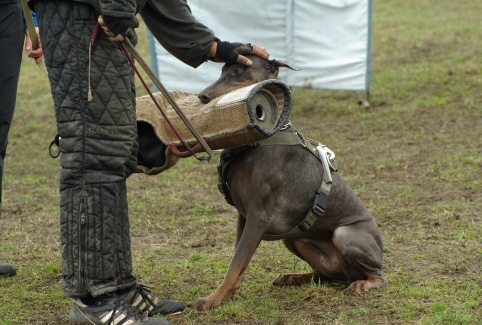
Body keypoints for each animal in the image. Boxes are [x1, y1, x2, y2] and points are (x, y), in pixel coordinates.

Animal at [189, 55, 388, 308]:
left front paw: (212, 300)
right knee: (326, 275)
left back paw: (363, 284)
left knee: (378, 276)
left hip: (344, 234)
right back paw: (293, 277)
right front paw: (226, 296)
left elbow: (236, 263)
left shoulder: (258, 217)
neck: (260, 141)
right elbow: (237, 261)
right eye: (222, 70)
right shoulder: (243, 216)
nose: (202, 95)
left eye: (238, 71)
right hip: (294, 239)